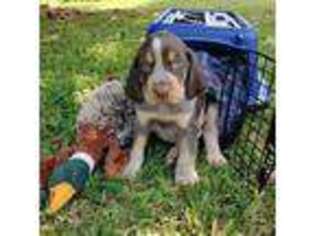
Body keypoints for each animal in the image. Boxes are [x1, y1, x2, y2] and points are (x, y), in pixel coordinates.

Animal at [121, 31, 227, 185]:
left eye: (175, 63)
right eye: (146, 66)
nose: (161, 90)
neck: (165, 107)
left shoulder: (189, 127)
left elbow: (187, 153)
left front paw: (185, 176)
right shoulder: (142, 122)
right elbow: (137, 148)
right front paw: (131, 169)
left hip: (211, 106)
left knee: (210, 131)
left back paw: (215, 156)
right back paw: (173, 153)